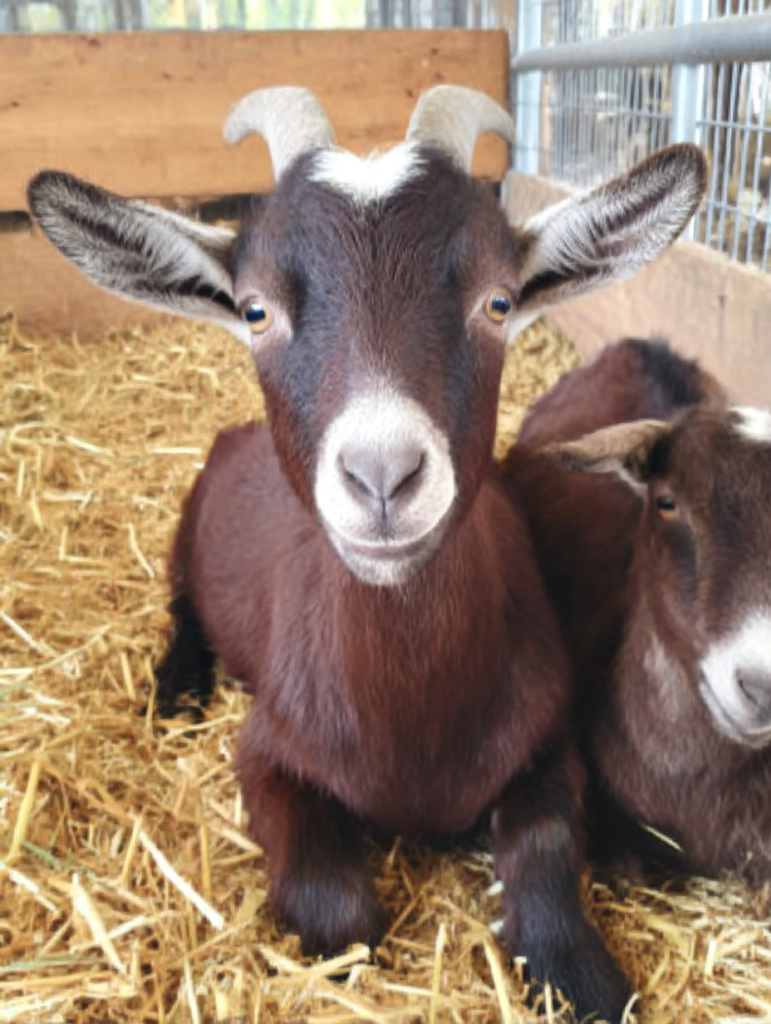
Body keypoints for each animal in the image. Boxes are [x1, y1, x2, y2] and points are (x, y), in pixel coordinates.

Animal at [27, 86, 707, 1021]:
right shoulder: (268, 752)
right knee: (182, 607)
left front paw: (581, 974)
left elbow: (541, 851)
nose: (382, 475)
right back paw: (175, 688)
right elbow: (338, 916)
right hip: (184, 530)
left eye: (498, 302)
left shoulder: (545, 739)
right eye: (254, 309)